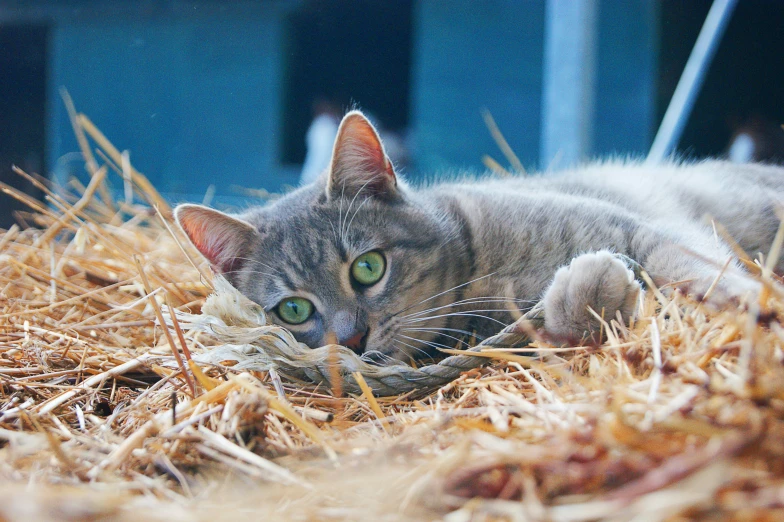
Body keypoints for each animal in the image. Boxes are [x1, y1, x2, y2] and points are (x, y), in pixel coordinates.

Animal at [173, 109, 784, 362]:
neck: (477, 272)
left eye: (368, 267)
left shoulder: (638, 229)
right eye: (294, 311)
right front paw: (590, 292)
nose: (351, 339)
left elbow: (695, 268)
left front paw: (749, 302)